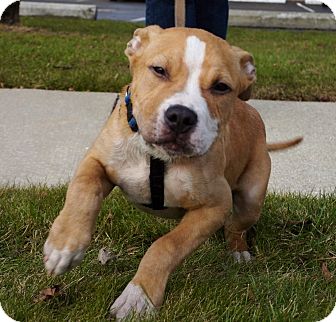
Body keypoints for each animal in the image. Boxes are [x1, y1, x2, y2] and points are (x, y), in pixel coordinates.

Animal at [44, 27, 302, 320]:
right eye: (159, 70)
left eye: (221, 87)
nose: (181, 117)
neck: (157, 157)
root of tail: (250, 109)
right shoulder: (96, 161)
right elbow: (82, 192)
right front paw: (64, 246)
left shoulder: (215, 205)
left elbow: (166, 245)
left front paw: (139, 296)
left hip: (251, 197)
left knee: (236, 225)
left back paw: (238, 251)